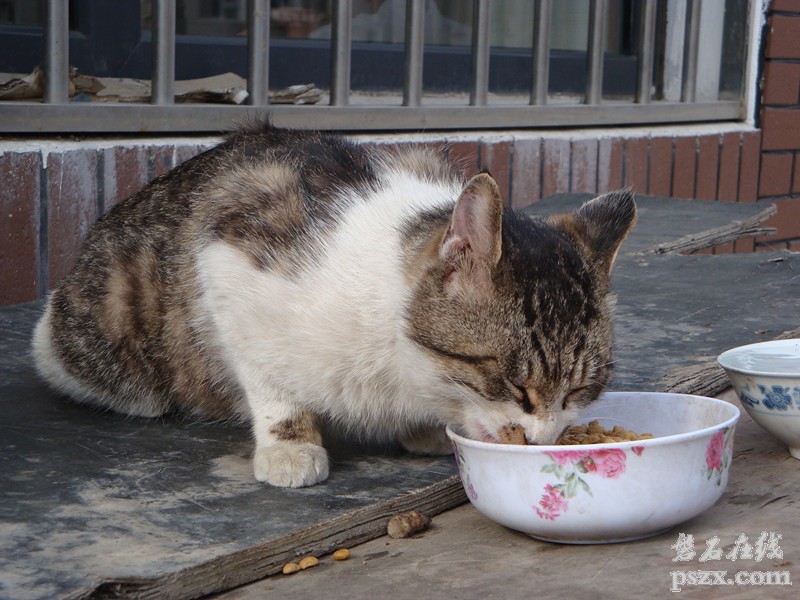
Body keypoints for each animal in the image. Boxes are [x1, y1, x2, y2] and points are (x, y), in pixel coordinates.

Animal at [32, 125, 636, 488]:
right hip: (107, 328)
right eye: (515, 386)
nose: (541, 444)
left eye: (580, 391)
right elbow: (268, 377)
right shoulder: (229, 255)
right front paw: (290, 443)